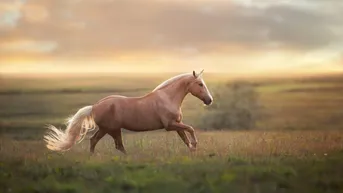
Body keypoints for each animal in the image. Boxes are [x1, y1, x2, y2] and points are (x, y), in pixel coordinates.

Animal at [44, 69, 214, 154]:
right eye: (200, 84)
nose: (209, 100)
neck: (167, 98)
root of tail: (95, 106)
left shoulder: (177, 124)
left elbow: (185, 138)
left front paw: (193, 150)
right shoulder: (170, 125)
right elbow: (191, 129)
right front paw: (195, 145)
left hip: (107, 129)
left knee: (96, 141)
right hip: (112, 129)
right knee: (115, 145)